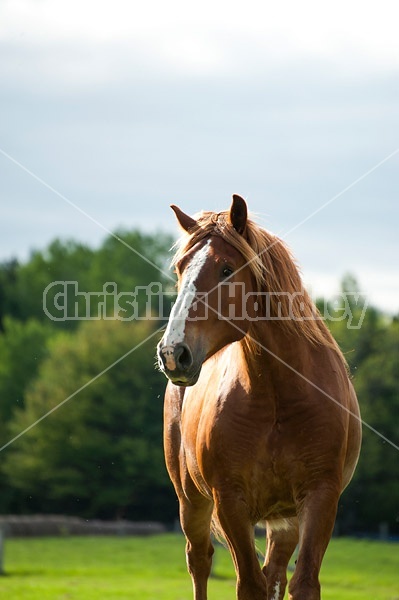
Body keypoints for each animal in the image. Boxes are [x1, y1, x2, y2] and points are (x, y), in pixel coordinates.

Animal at [157, 195, 362, 596]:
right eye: (180, 268)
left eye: (226, 269)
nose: (173, 353)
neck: (278, 396)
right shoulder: (230, 502)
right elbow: (249, 585)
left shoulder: (320, 497)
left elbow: (302, 582)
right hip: (191, 501)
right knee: (200, 561)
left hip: (285, 520)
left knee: (275, 574)